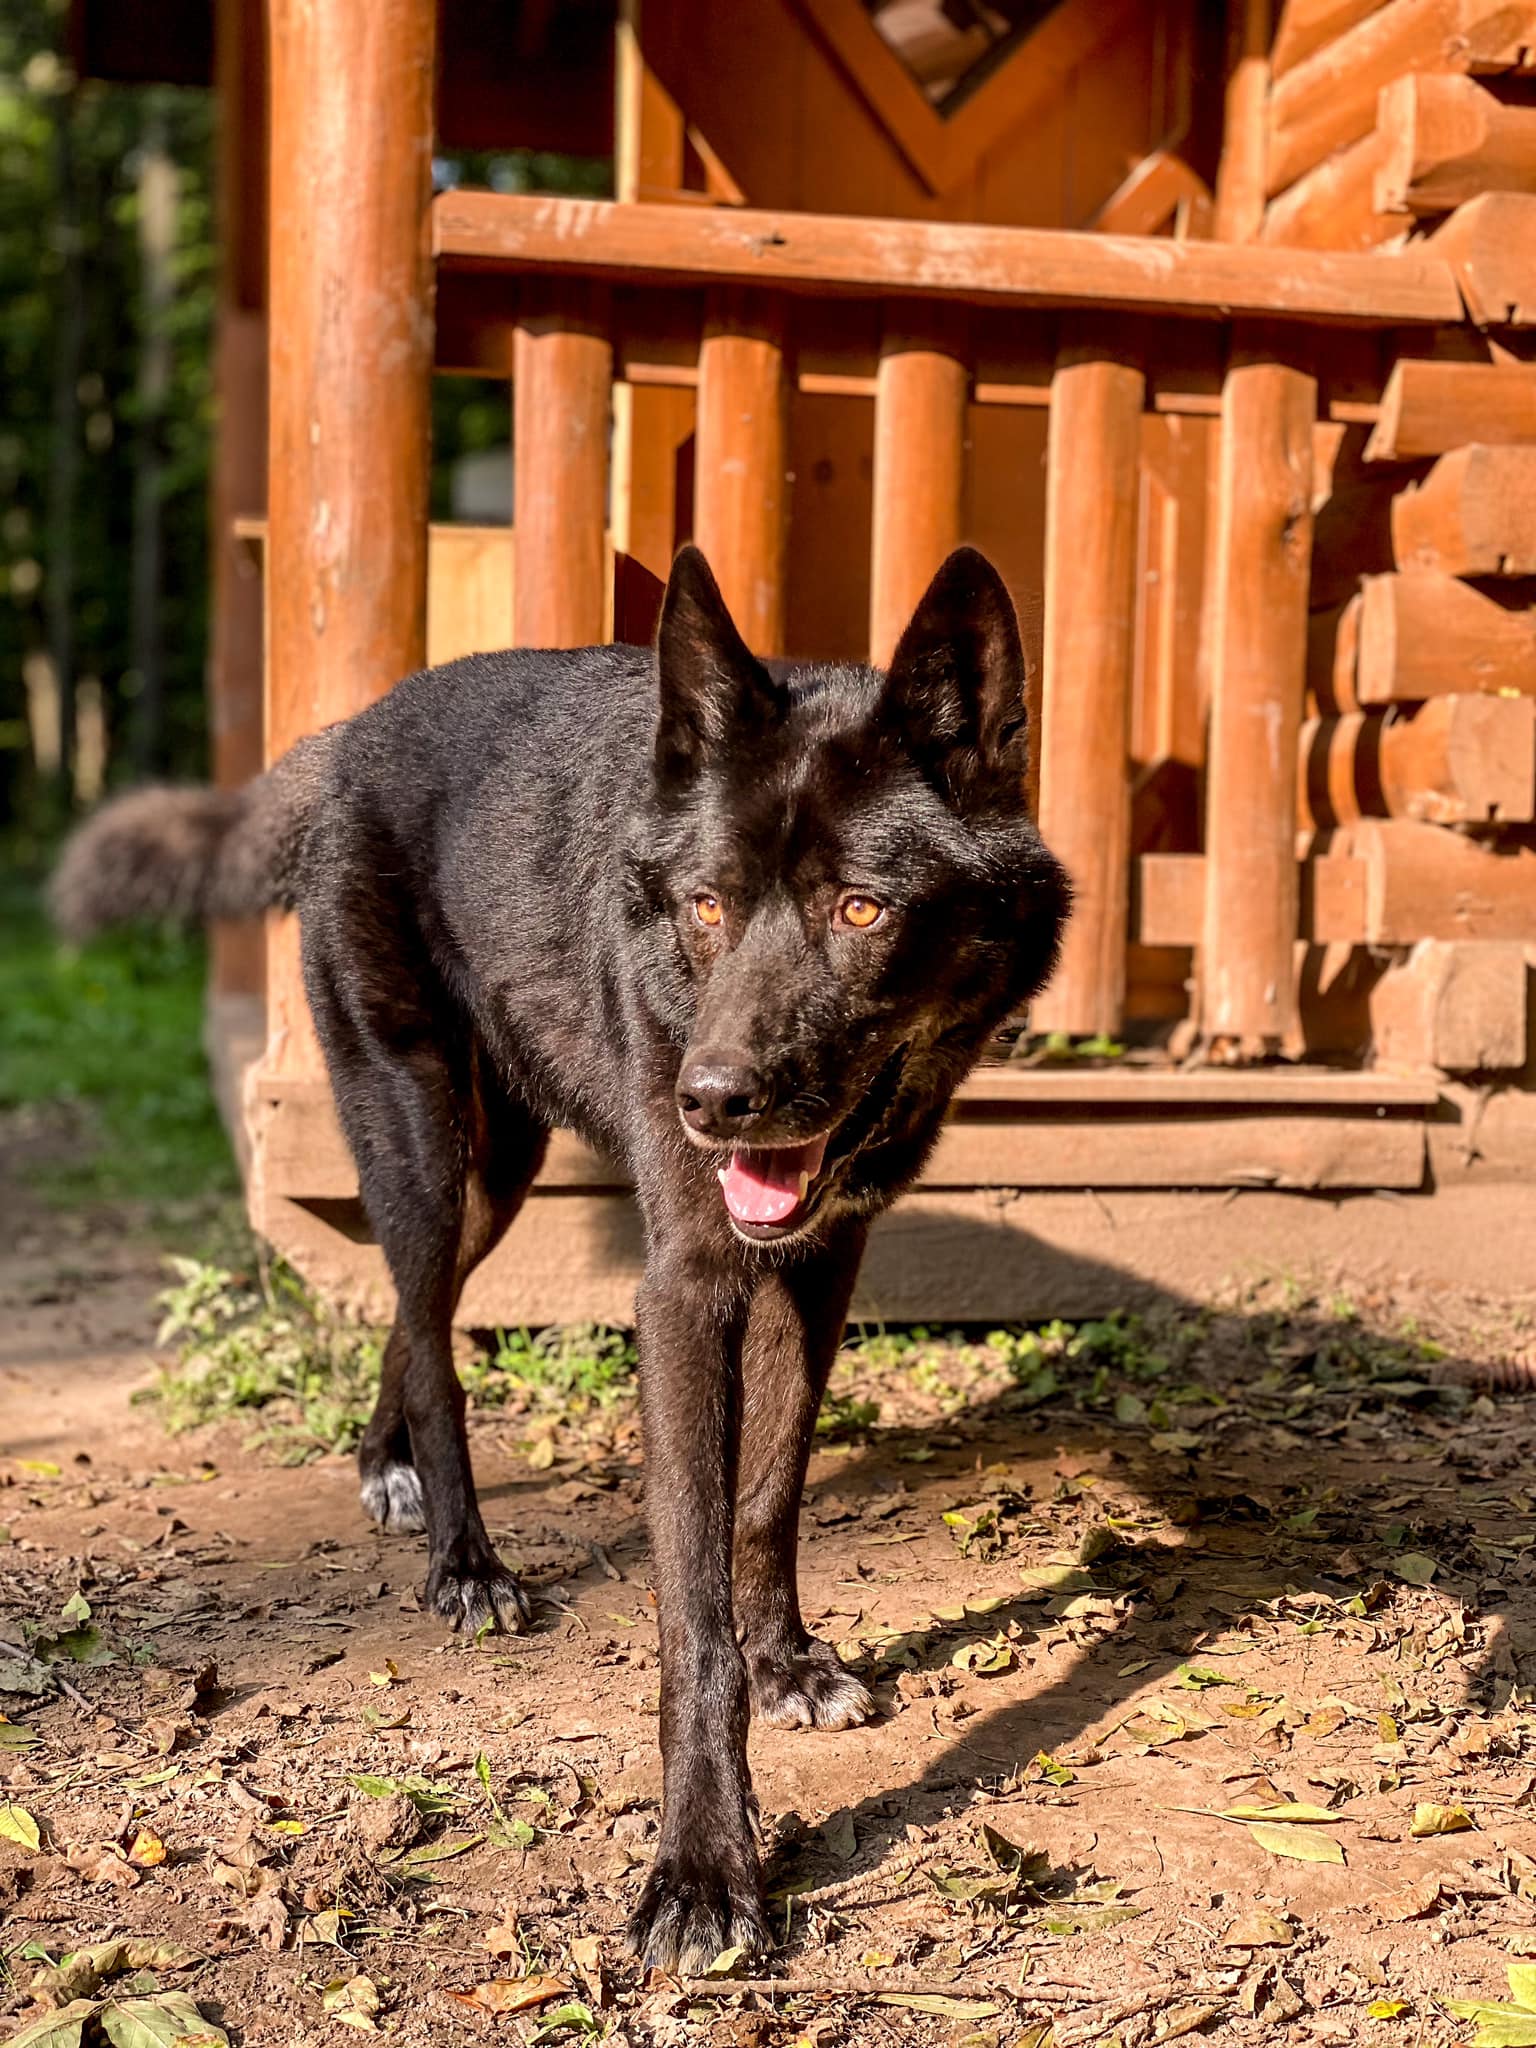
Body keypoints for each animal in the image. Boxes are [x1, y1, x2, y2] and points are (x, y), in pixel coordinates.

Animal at [57, 544, 1073, 1966]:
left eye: (862, 908)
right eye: (708, 905)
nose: (710, 1100)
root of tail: (346, 738)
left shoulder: (818, 1267)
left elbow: (769, 1495)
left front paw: (790, 1661)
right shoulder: (685, 1285)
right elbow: (690, 1610)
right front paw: (704, 1870)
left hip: (503, 1171)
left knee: (412, 1313)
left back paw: (387, 1469)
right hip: (427, 1148)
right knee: (435, 1338)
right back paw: (465, 1562)